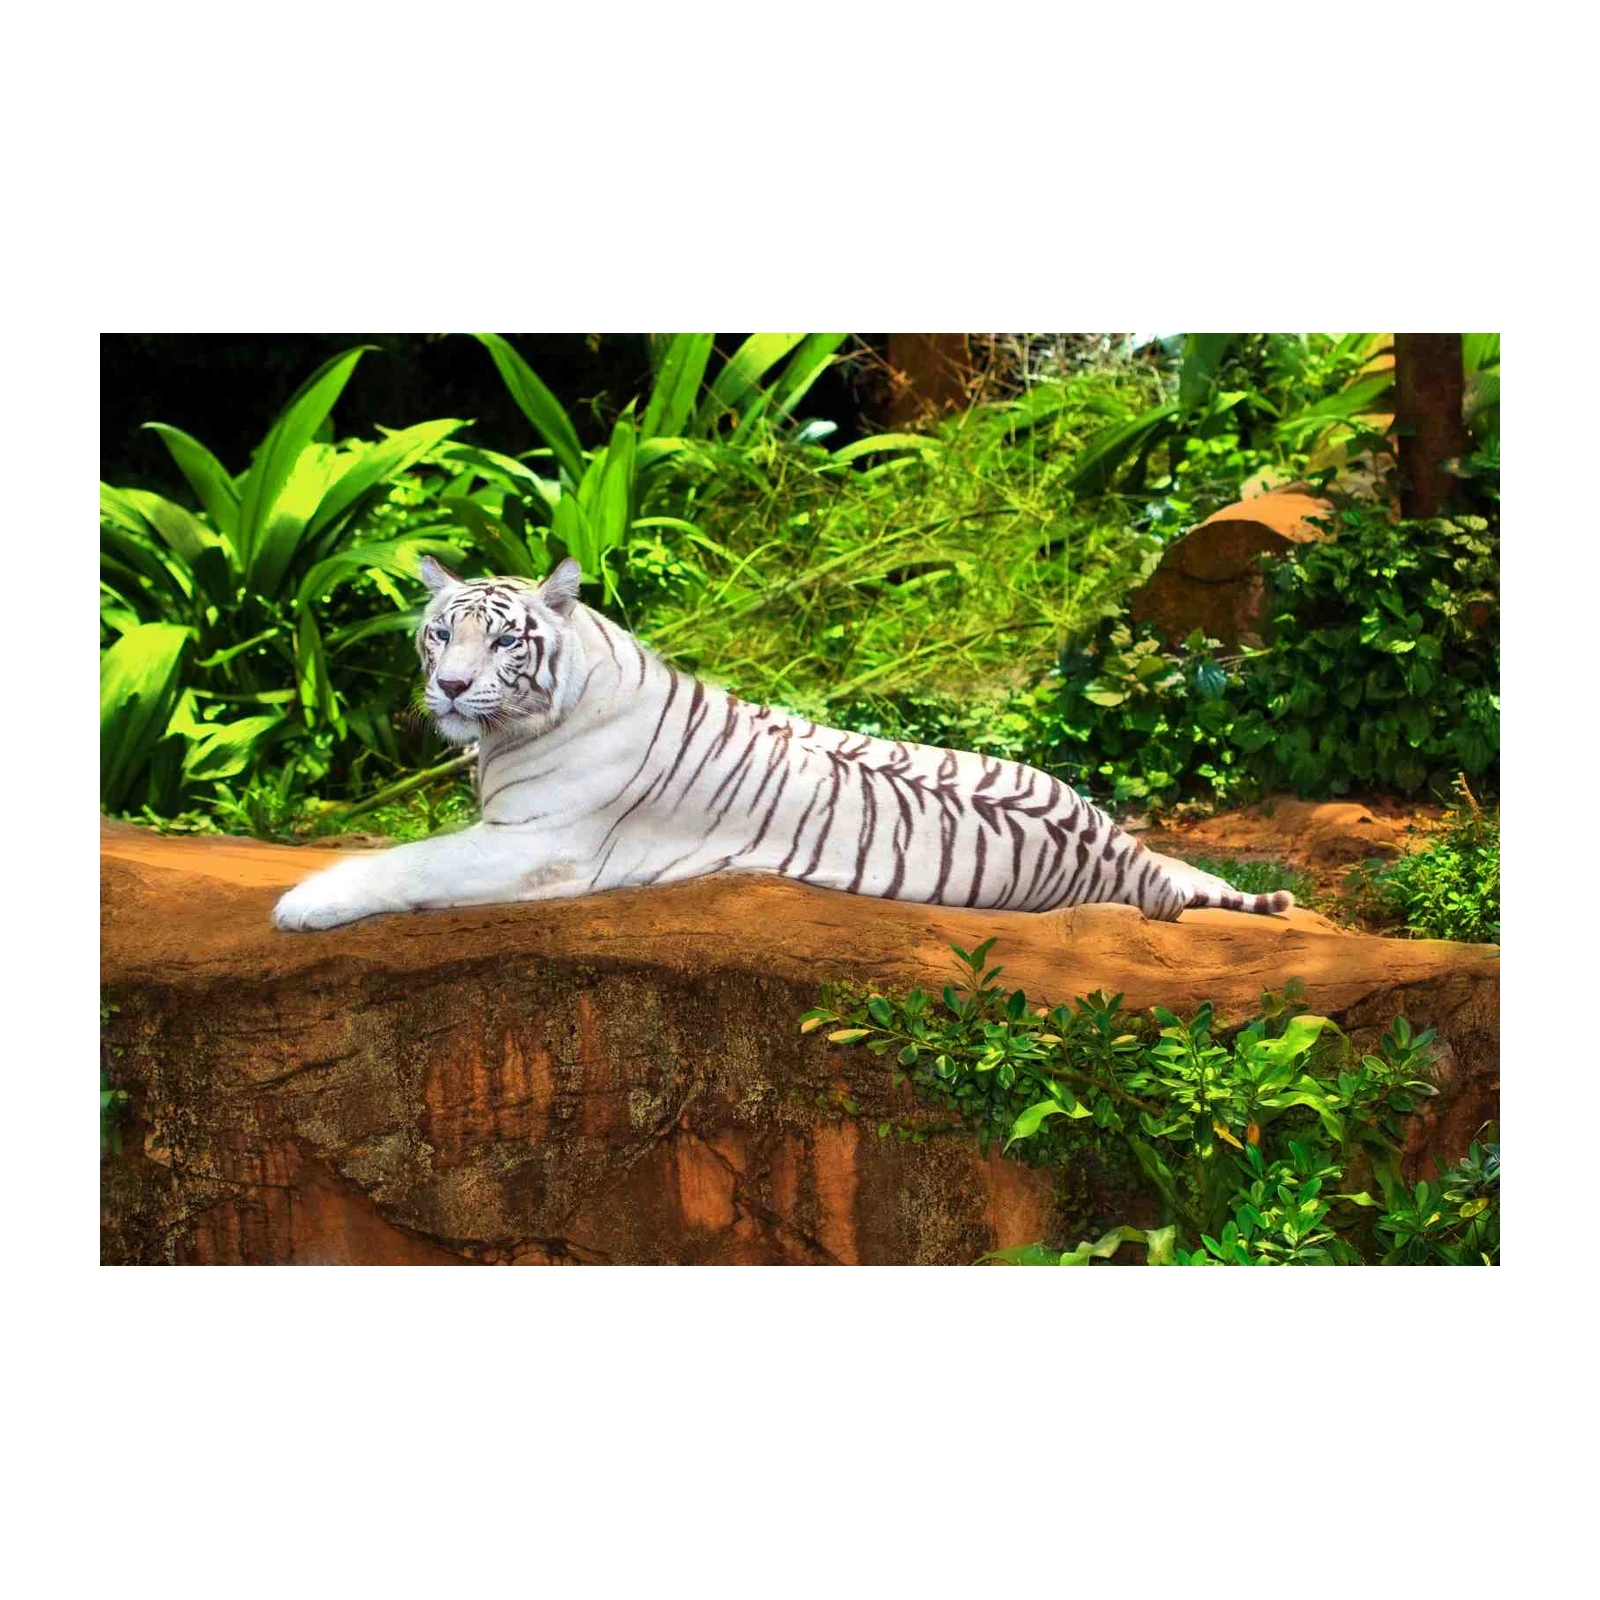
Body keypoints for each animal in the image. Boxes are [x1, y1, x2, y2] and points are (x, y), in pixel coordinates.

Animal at [271, 556, 1294, 932]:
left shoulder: (541, 845)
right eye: (441, 634)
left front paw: (300, 903)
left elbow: (412, 859)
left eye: (502, 642)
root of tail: (1115, 857)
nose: (447, 687)